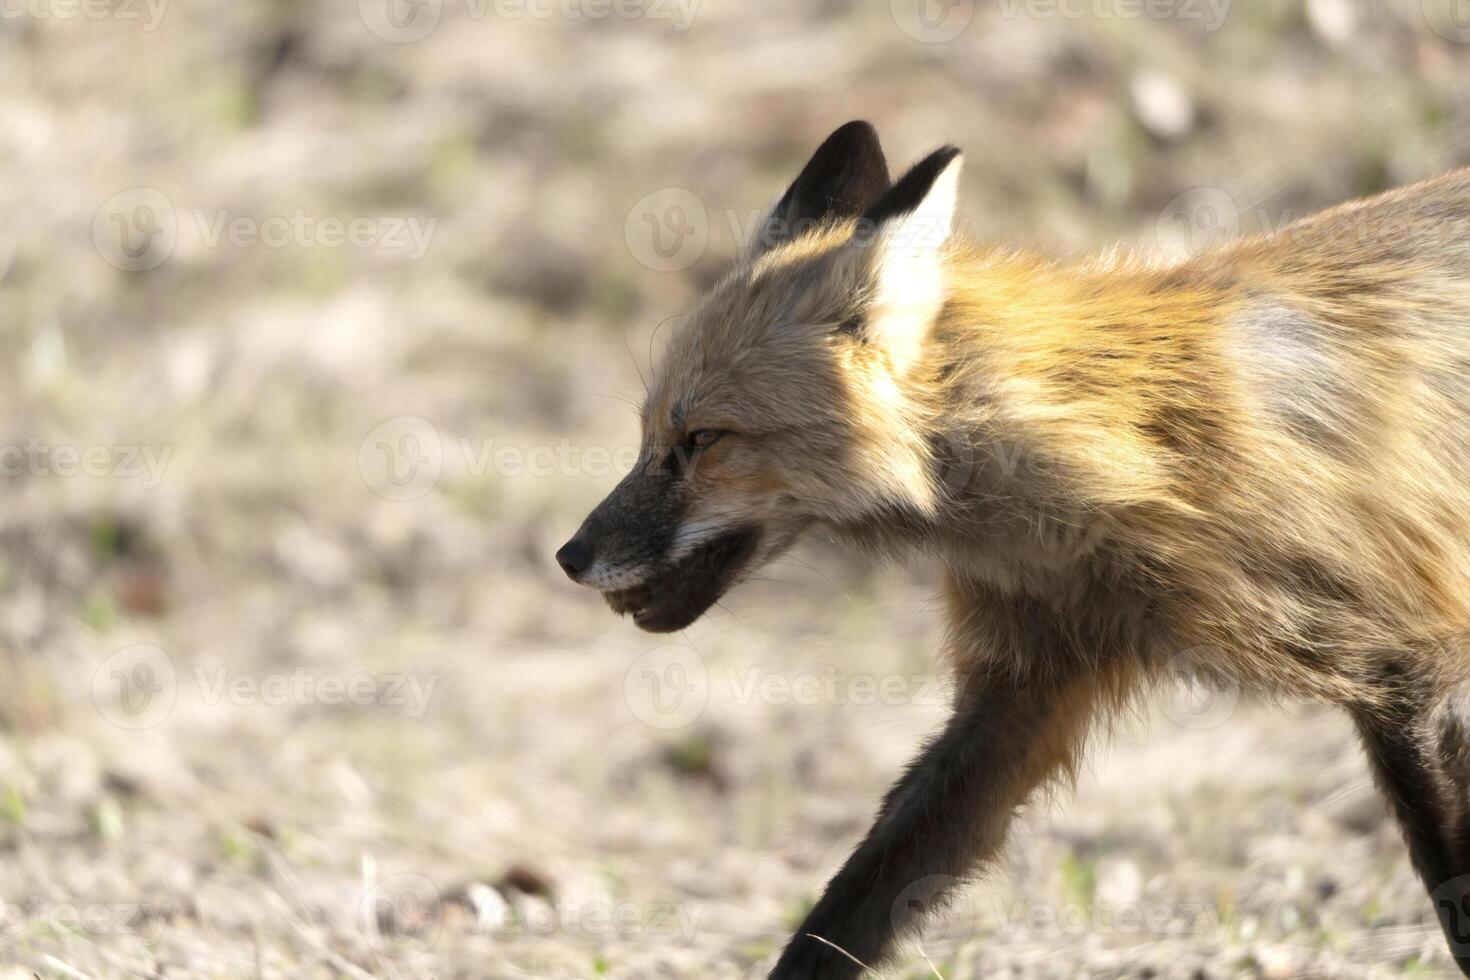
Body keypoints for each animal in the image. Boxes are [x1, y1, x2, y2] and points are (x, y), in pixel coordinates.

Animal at [552, 120, 1470, 975]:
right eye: (648, 438)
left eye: (701, 440)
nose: (569, 555)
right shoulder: (1020, 694)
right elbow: (849, 907)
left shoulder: (1407, 668)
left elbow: (1454, 895)